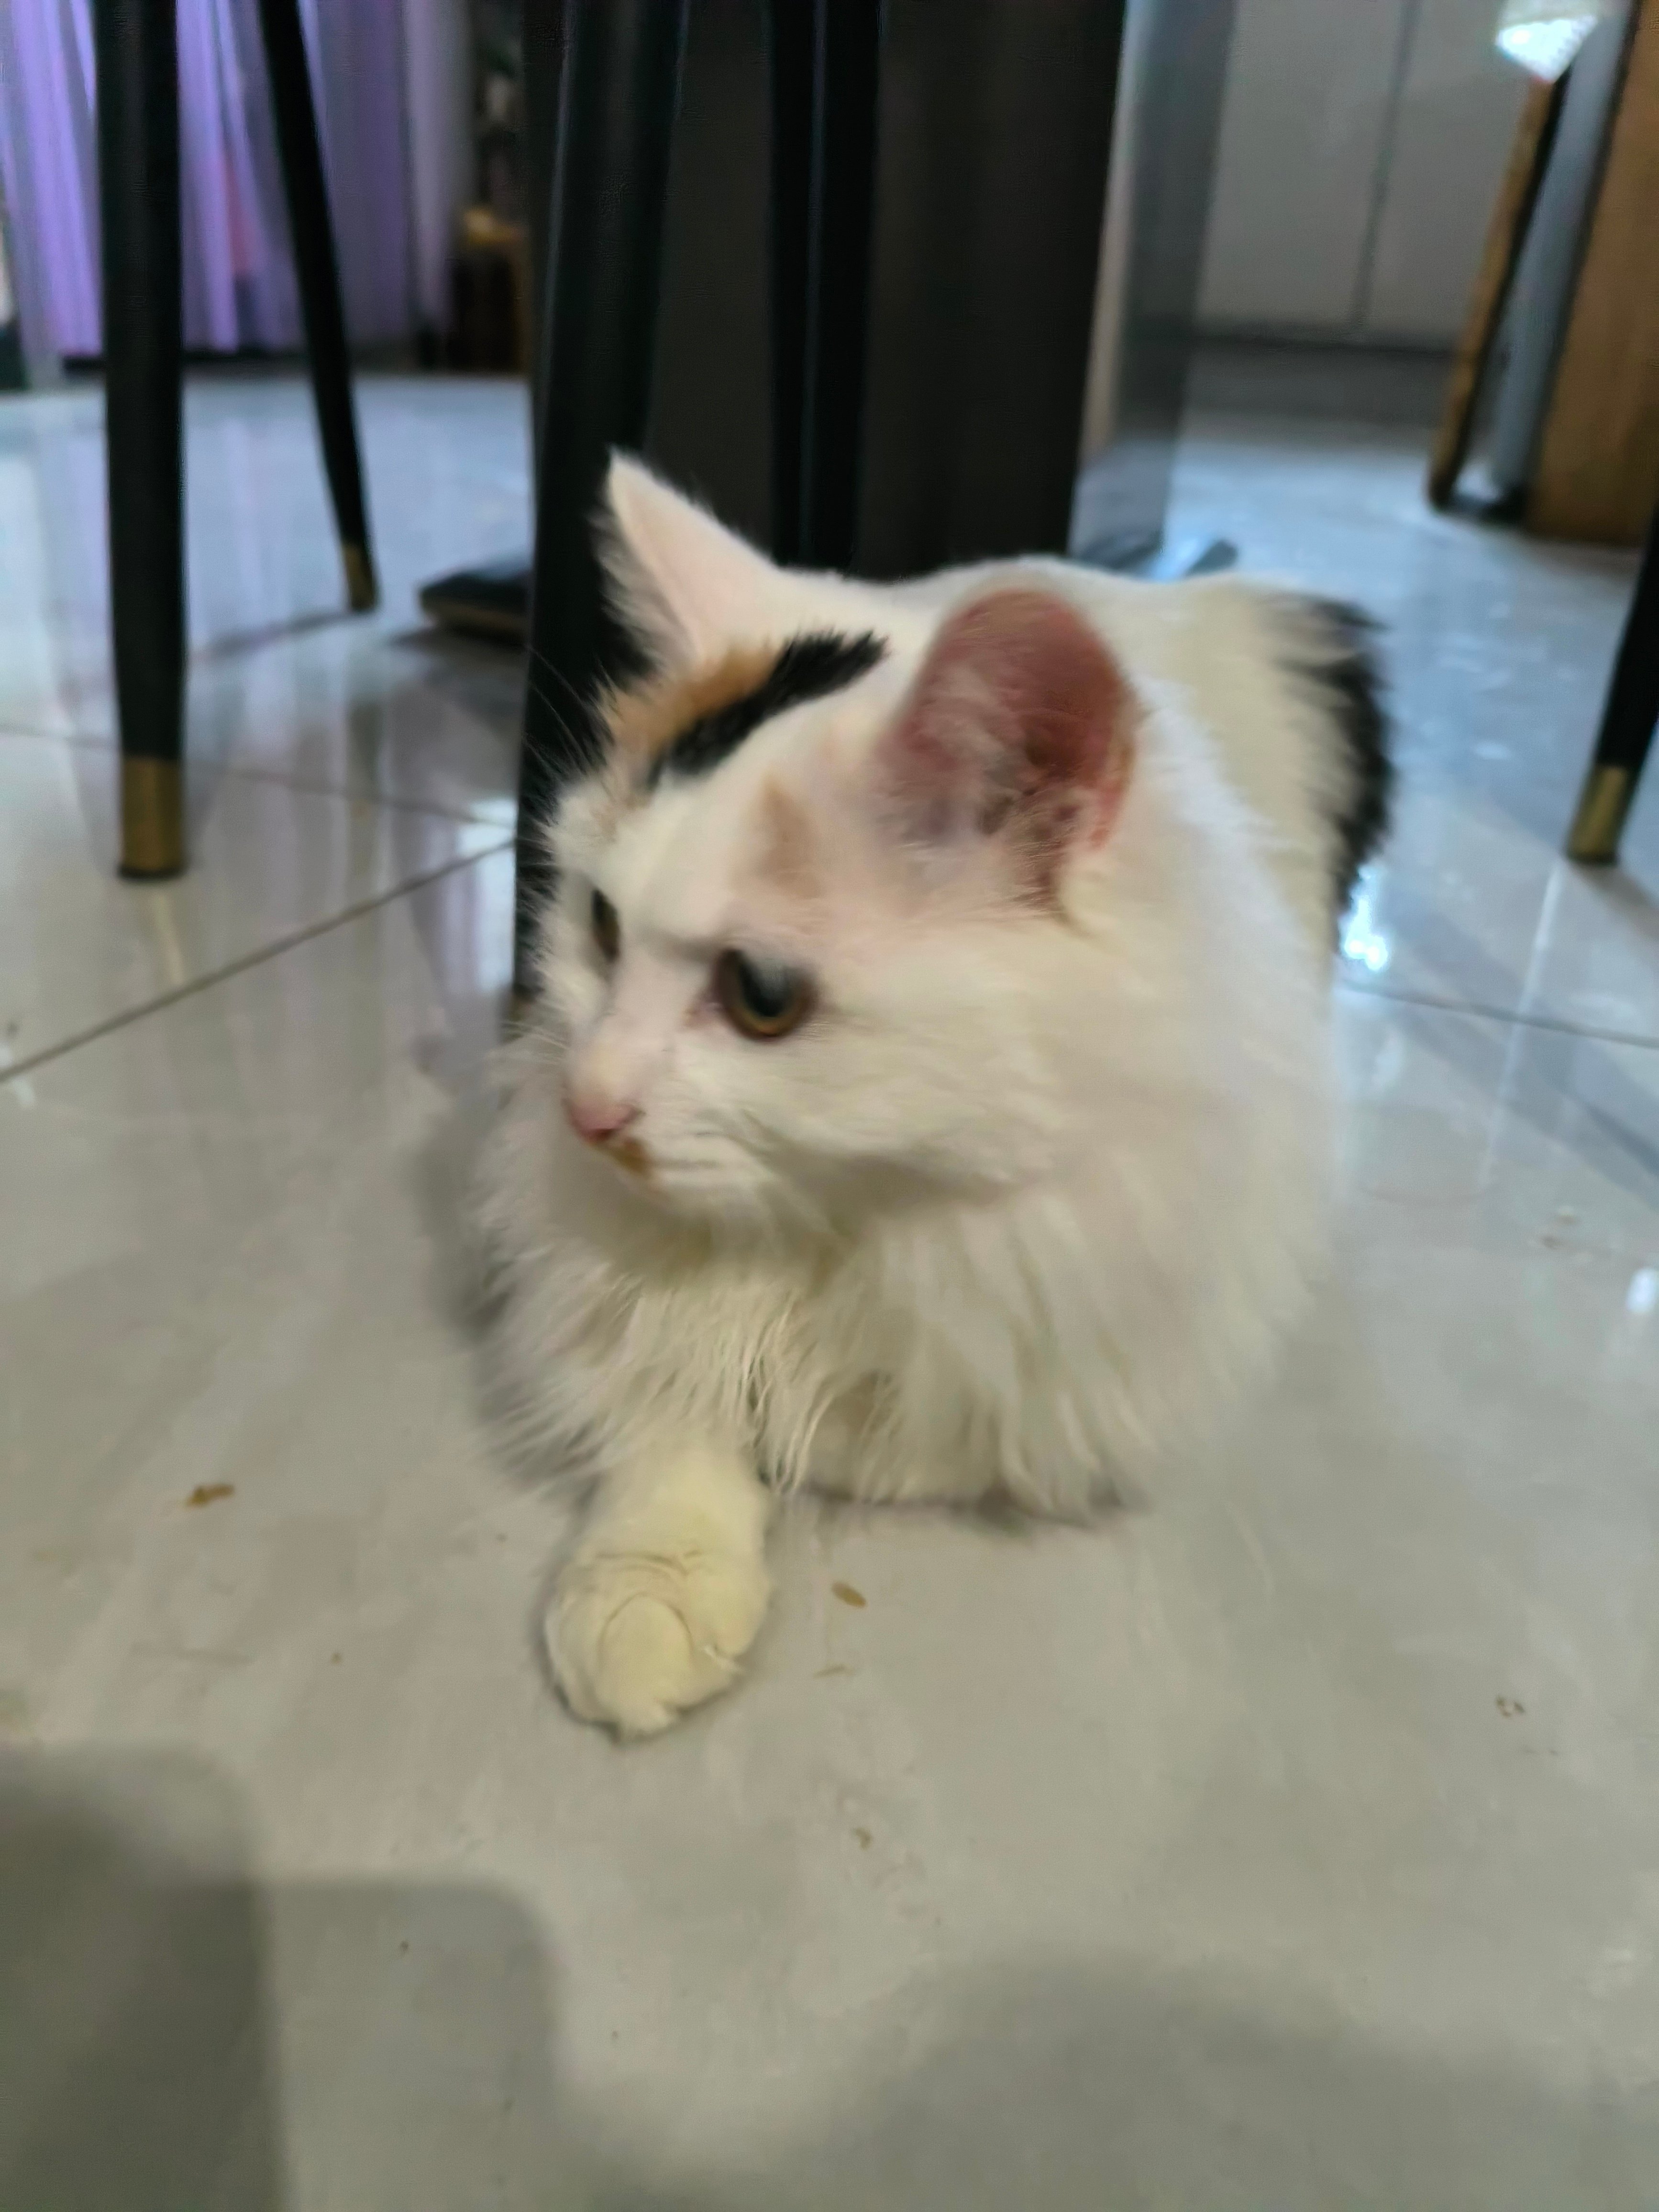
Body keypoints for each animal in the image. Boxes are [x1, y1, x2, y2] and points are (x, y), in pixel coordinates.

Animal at [484, 455, 1390, 1737]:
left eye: (763, 996)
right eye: (601, 928)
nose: (588, 1107)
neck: (857, 1213)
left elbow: (924, 1414)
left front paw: (831, 1432)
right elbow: (671, 1401)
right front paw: (654, 1581)